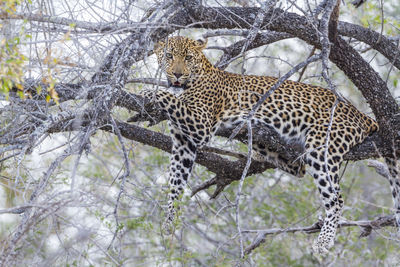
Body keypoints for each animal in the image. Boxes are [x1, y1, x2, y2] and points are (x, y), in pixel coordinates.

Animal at [138, 36, 400, 255]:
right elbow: (175, 183)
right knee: (299, 168)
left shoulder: (200, 123)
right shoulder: (184, 143)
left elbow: (171, 99)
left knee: (336, 199)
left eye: (188, 58)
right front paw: (169, 222)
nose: (177, 74)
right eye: (169, 55)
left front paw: (149, 91)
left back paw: (323, 242)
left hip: (322, 145)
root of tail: (363, 115)